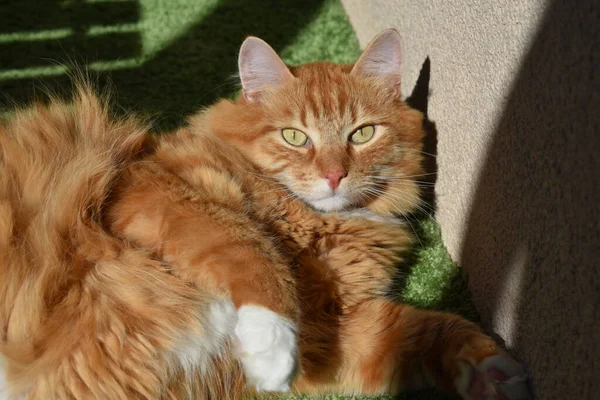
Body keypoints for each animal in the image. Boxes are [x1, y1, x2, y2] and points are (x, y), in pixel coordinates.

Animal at [0, 28, 528, 400]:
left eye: (361, 134)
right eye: (295, 137)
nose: (334, 176)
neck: (317, 224)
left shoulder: (334, 333)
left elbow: (432, 327)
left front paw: (492, 370)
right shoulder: (142, 190)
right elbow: (249, 246)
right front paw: (270, 342)